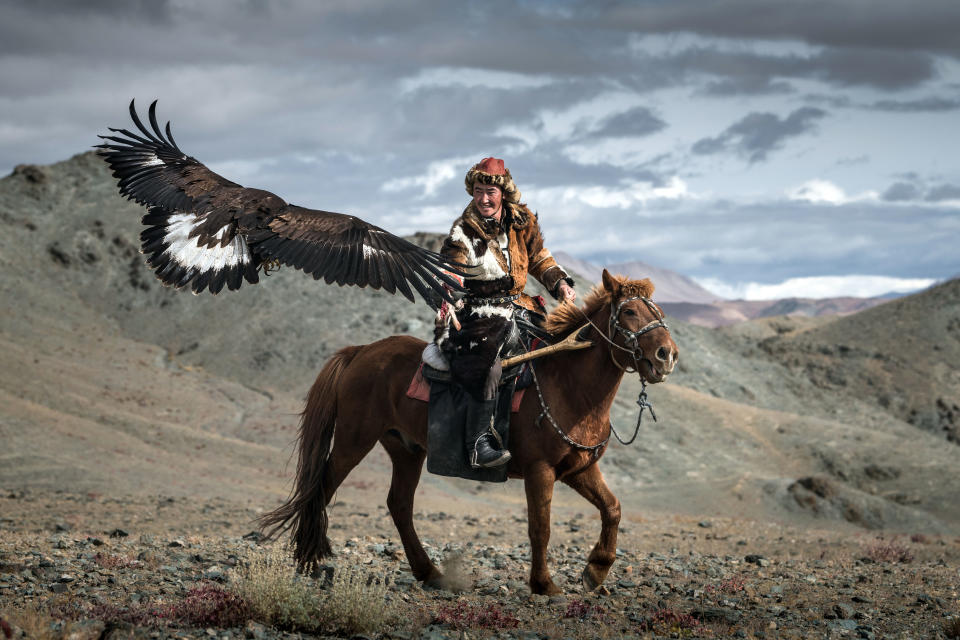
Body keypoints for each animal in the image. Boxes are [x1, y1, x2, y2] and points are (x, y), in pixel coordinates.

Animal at [258, 270, 680, 596]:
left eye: (658, 312)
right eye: (629, 311)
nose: (667, 355)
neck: (568, 385)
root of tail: (361, 351)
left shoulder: (578, 469)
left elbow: (613, 508)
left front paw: (595, 570)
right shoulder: (540, 470)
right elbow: (540, 527)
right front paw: (544, 585)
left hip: (406, 449)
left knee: (399, 504)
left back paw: (429, 573)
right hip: (352, 440)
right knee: (322, 487)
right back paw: (308, 560)